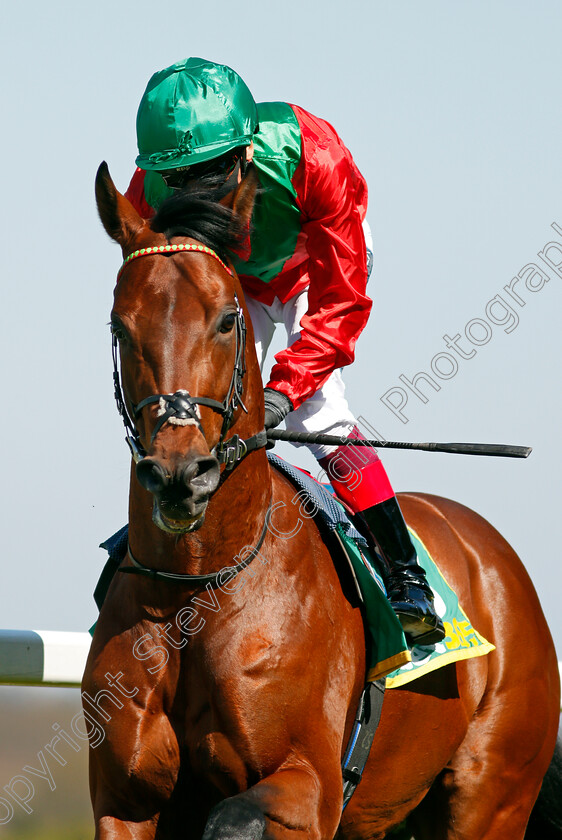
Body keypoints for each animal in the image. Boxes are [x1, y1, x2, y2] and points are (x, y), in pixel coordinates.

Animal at [85, 161, 556, 836]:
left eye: (226, 320)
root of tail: (492, 553)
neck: (196, 589)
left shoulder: (311, 784)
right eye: (119, 326)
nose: (180, 474)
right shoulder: (124, 798)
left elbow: (232, 817)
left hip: (493, 796)